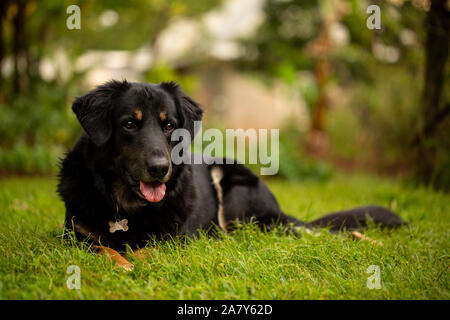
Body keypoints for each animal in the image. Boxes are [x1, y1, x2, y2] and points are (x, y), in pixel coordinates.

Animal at [56, 80, 404, 260]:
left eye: (169, 125)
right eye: (129, 123)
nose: (160, 169)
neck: (127, 207)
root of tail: (276, 208)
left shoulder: (173, 239)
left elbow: (145, 251)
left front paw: (134, 262)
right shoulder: (73, 238)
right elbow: (104, 248)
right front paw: (120, 262)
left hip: (233, 187)